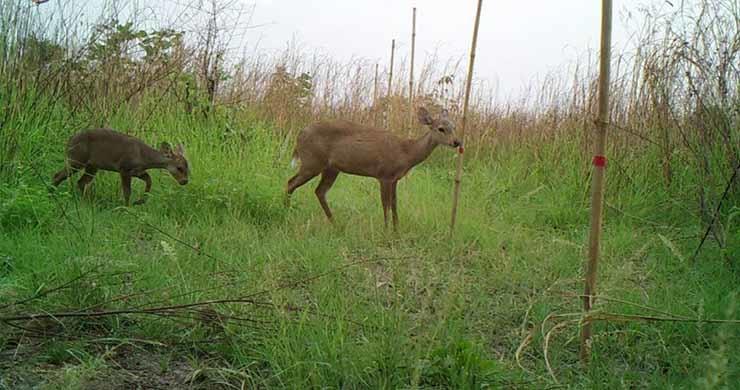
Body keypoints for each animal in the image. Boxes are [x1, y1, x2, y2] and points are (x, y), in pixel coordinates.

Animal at [52, 129, 189, 206]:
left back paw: (88, 202)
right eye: (179, 168)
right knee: (58, 175)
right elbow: (127, 191)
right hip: (77, 159)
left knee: (81, 182)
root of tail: (69, 141)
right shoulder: (124, 168)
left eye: (188, 168)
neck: (143, 157)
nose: (185, 181)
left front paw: (140, 202)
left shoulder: (137, 172)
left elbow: (149, 181)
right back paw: (51, 193)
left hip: (92, 166)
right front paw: (127, 208)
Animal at [286, 105, 460, 230]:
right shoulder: (384, 175)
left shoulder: (395, 179)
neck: (406, 153)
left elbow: (395, 203)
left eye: (454, 126)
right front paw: (386, 229)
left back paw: (335, 223)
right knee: (291, 183)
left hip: (331, 168)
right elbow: (386, 204)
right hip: (312, 162)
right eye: (441, 128)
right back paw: (286, 211)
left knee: (319, 191)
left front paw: (397, 229)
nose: (457, 142)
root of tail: (299, 134)